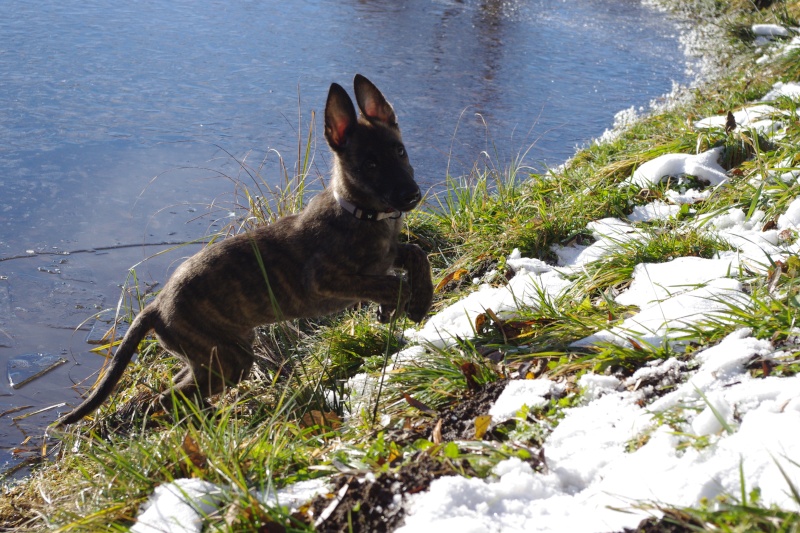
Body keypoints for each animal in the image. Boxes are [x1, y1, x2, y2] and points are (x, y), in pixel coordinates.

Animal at [57, 74, 434, 424]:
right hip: (228, 358)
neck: (361, 213)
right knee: (168, 398)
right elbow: (391, 282)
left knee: (179, 385)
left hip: (216, 354)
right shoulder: (326, 279)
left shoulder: (387, 256)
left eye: (400, 151)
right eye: (370, 164)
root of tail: (155, 306)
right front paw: (401, 305)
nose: (412, 195)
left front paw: (421, 301)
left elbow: (417, 255)